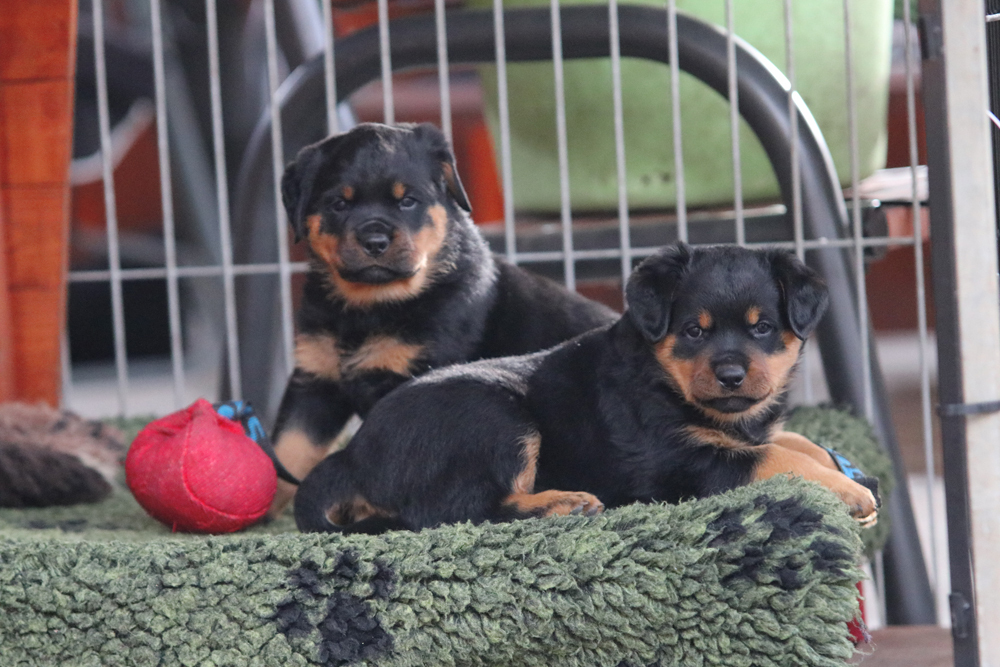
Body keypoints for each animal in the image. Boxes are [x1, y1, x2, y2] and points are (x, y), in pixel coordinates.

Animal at [271, 122, 616, 514]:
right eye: (339, 204)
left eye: (407, 201)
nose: (374, 240)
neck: (370, 306)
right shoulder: (315, 378)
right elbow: (287, 449)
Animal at [294, 243, 880, 533]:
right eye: (694, 331)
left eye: (763, 328)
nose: (732, 376)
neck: (664, 379)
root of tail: (353, 455)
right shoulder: (686, 461)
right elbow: (775, 458)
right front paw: (850, 492)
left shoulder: (738, 432)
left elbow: (793, 442)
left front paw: (845, 469)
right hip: (496, 417)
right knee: (455, 512)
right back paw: (564, 504)